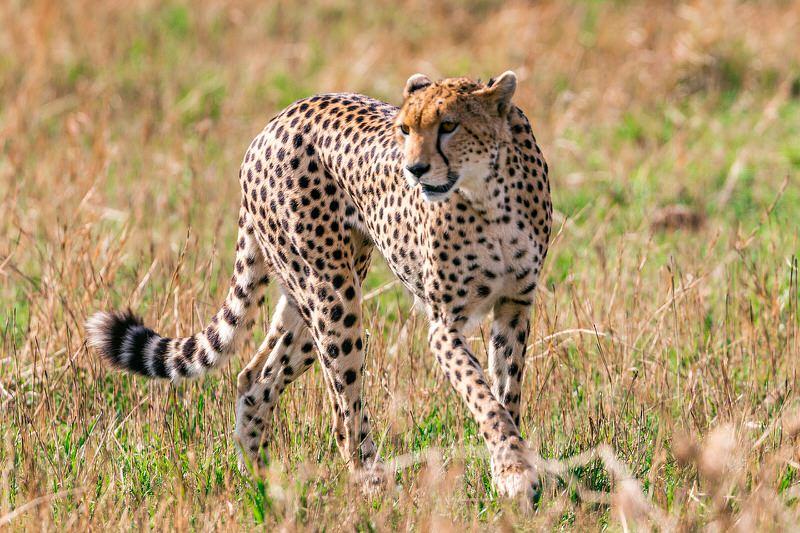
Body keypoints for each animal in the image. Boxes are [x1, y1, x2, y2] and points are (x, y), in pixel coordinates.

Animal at [86, 71, 552, 500]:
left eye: (449, 125)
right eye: (405, 129)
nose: (414, 169)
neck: (487, 194)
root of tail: (273, 123)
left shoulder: (514, 305)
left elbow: (505, 392)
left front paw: (512, 471)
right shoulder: (444, 325)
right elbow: (482, 396)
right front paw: (514, 470)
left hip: (313, 295)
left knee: (255, 378)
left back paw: (264, 483)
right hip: (332, 296)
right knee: (342, 413)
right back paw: (373, 485)